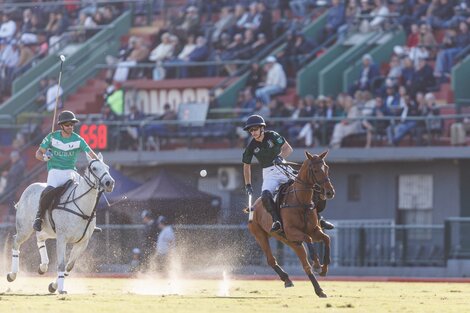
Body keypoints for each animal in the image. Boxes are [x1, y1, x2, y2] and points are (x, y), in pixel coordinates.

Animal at [7, 152, 114, 294]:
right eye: (94, 168)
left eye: (107, 167)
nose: (109, 183)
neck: (81, 208)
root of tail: (30, 187)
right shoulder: (62, 239)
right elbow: (61, 264)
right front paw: (61, 289)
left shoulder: (83, 242)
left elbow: (69, 266)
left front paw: (53, 286)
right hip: (25, 229)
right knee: (16, 242)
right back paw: (12, 274)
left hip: (48, 230)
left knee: (39, 238)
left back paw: (43, 266)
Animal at [250, 150, 334, 296]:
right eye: (315, 170)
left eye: (327, 168)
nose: (330, 192)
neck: (301, 201)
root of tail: (253, 206)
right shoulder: (291, 231)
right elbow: (308, 238)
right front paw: (317, 264)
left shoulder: (314, 231)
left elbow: (326, 238)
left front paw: (324, 268)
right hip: (260, 235)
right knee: (271, 259)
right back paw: (287, 279)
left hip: (290, 241)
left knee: (305, 266)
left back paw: (319, 290)